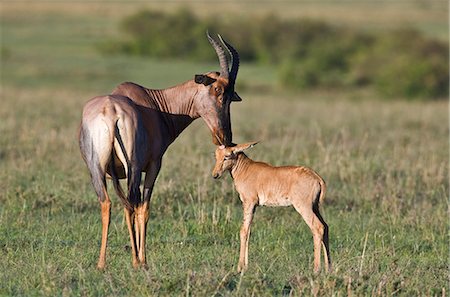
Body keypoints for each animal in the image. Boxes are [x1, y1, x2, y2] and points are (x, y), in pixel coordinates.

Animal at [81, 32, 243, 268]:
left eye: (231, 96)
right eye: (217, 91)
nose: (225, 138)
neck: (155, 103)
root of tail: (111, 111)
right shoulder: (153, 166)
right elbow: (144, 208)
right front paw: (143, 259)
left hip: (96, 170)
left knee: (108, 204)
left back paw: (101, 263)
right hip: (133, 168)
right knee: (133, 205)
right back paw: (136, 260)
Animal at [211, 143, 330, 272]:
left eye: (227, 156)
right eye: (216, 155)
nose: (215, 175)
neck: (247, 168)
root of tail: (318, 178)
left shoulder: (249, 203)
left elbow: (244, 230)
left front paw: (240, 267)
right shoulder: (253, 206)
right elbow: (249, 231)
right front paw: (245, 266)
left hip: (304, 207)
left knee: (318, 227)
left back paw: (316, 269)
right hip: (315, 207)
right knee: (325, 227)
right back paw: (328, 268)